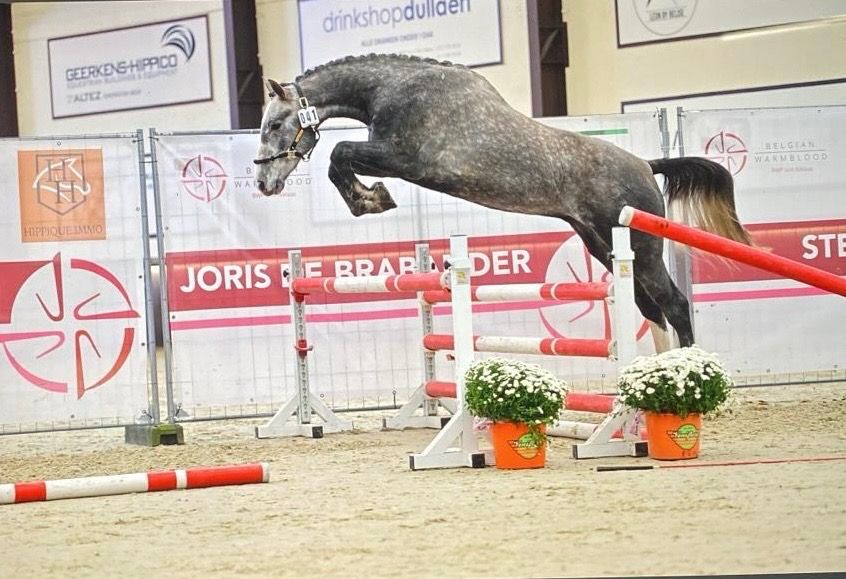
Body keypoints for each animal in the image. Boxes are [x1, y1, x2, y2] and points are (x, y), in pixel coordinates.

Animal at [253, 54, 751, 348]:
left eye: (275, 124)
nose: (263, 183)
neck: (394, 89)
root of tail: (647, 165)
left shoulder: (403, 159)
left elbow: (339, 154)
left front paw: (371, 200)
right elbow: (339, 157)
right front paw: (370, 199)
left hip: (642, 249)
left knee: (674, 306)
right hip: (603, 244)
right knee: (651, 310)